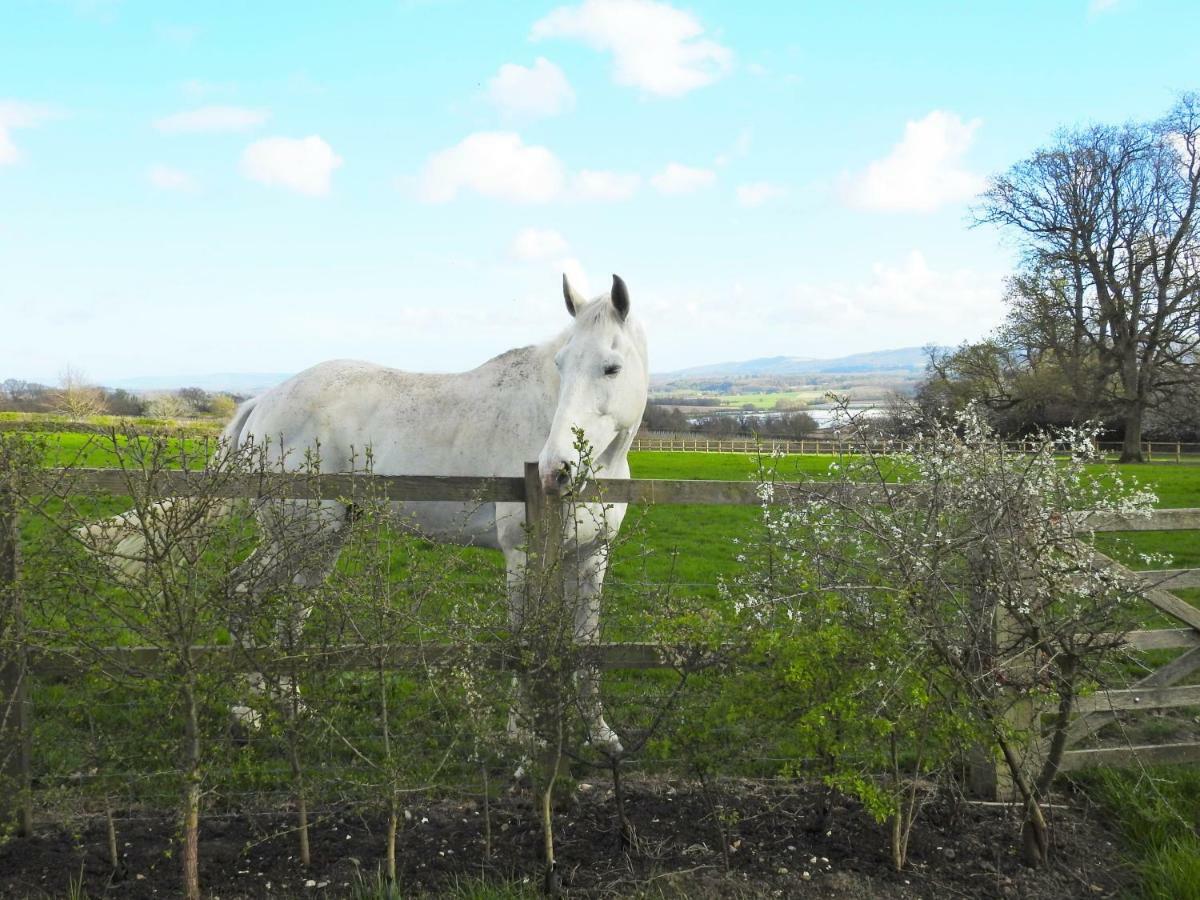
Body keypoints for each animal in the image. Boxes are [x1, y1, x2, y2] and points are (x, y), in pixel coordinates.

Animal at [219, 277, 643, 753]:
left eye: (611, 368)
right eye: (561, 365)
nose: (556, 470)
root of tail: (264, 401)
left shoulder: (591, 557)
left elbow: (587, 645)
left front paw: (601, 734)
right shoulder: (524, 556)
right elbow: (522, 639)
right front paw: (520, 733)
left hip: (322, 540)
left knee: (291, 609)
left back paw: (289, 704)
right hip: (297, 536)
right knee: (243, 592)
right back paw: (252, 707)